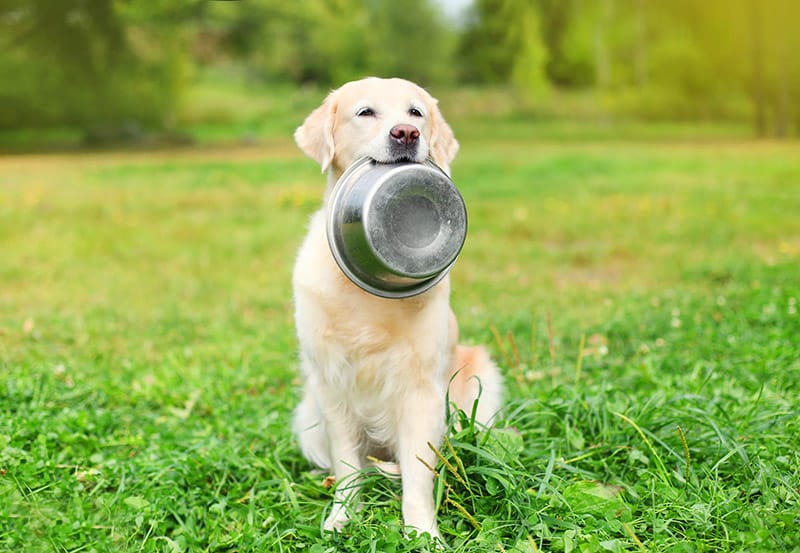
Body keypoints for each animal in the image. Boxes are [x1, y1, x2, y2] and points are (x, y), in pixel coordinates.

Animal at [290, 75, 500, 536]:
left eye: (415, 112)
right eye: (366, 112)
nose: (406, 133)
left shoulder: (422, 390)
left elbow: (419, 474)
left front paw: (422, 532)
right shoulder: (332, 384)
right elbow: (347, 465)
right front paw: (342, 516)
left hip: (481, 378)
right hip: (308, 414)